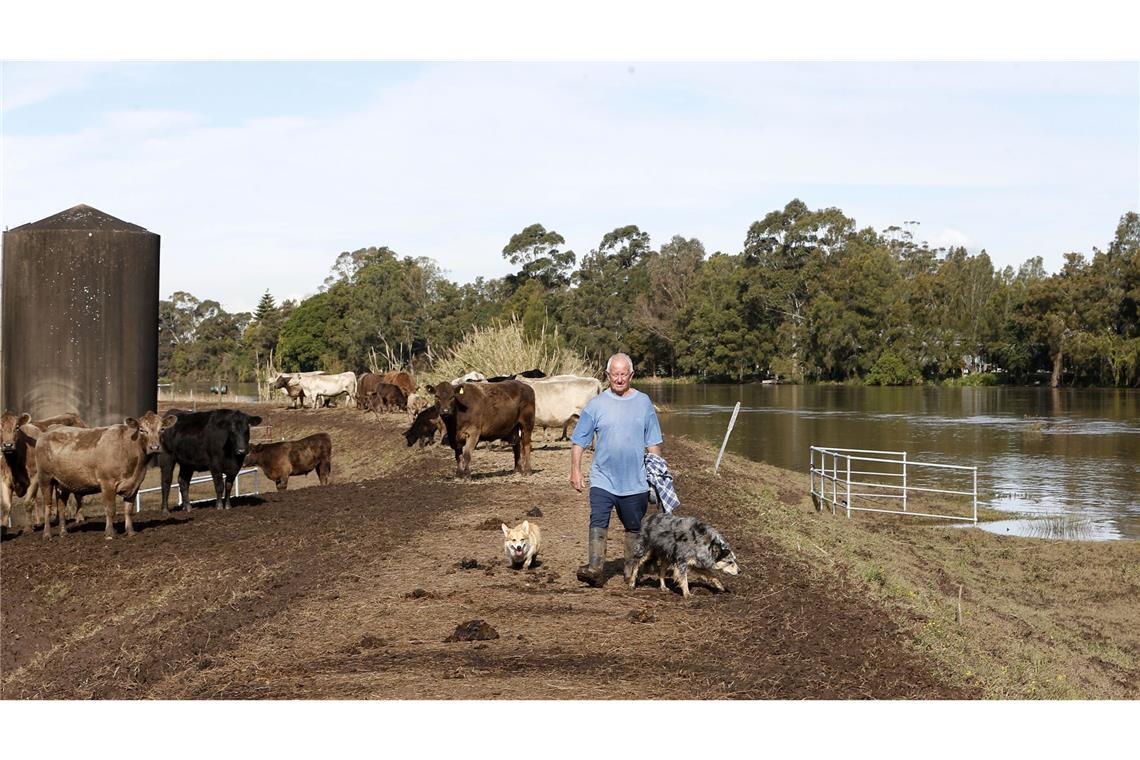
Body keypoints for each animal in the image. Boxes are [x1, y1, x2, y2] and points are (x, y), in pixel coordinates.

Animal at [35, 410, 175, 540]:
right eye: (142, 429)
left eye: (162, 429)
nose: (154, 447)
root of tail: (50, 430)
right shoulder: (107, 483)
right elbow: (110, 509)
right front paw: (109, 534)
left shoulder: (135, 484)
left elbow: (128, 509)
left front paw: (130, 532)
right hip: (45, 478)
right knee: (47, 506)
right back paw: (47, 534)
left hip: (63, 483)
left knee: (61, 507)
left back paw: (64, 533)